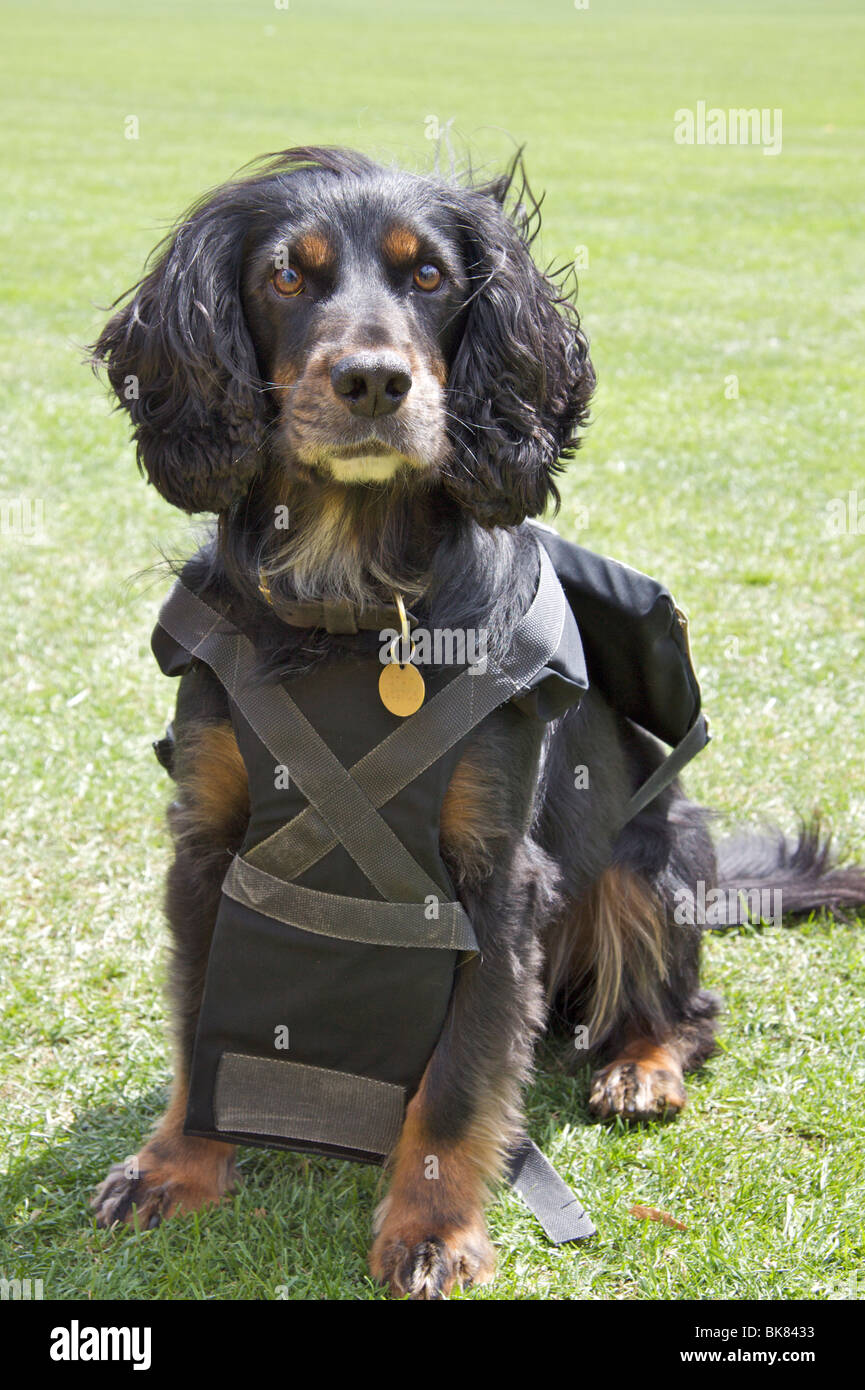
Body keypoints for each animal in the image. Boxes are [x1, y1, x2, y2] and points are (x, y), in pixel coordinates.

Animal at [88, 146, 865, 1295]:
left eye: (428, 277)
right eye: (286, 276)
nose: (373, 381)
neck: (352, 601)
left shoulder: (491, 880)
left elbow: (457, 1086)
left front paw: (431, 1230)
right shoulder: (208, 847)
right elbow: (199, 1031)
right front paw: (174, 1166)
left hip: (653, 849)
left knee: (681, 1010)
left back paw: (639, 1067)